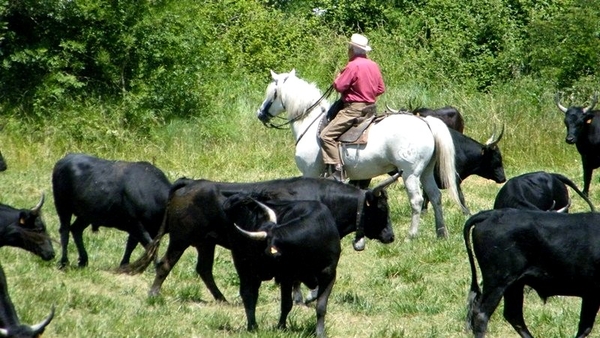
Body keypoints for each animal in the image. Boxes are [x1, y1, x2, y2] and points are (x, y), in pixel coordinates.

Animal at [126, 173, 398, 302]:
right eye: (382, 209)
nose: (391, 236)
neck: (325, 199)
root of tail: (190, 183)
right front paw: (300, 297)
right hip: (180, 239)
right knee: (165, 264)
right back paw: (154, 294)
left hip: (206, 242)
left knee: (204, 269)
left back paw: (223, 299)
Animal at [221, 194, 342, 336]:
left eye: (260, 246)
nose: (249, 251)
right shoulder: (286, 276)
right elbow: (286, 304)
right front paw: (281, 327)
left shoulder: (329, 274)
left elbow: (321, 306)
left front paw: (320, 333)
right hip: (244, 267)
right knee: (248, 294)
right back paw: (252, 326)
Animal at [255, 68, 466, 238]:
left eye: (272, 93)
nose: (260, 114)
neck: (311, 123)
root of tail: (425, 122)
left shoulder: (310, 173)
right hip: (426, 172)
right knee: (435, 197)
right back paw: (441, 233)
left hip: (410, 174)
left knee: (417, 200)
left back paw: (411, 235)